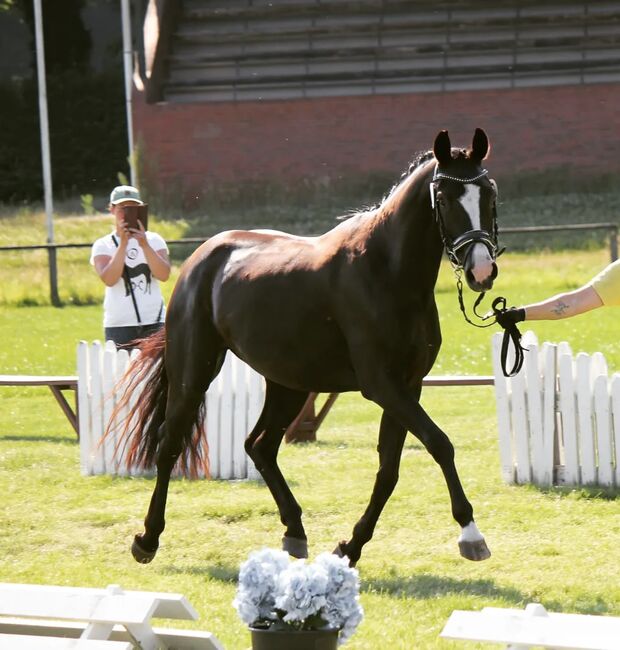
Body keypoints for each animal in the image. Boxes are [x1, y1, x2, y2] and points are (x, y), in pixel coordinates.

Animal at [118, 126, 502, 560]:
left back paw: (295, 532)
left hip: (288, 384)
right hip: (194, 371)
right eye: (446, 198)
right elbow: (439, 444)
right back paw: (147, 539)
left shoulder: (408, 386)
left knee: (260, 446)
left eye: (489, 194)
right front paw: (470, 533)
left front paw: (350, 546)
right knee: (170, 443)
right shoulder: (382, 386)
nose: (482, 271)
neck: (387, 272)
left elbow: (389, 469)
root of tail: (201, 259)